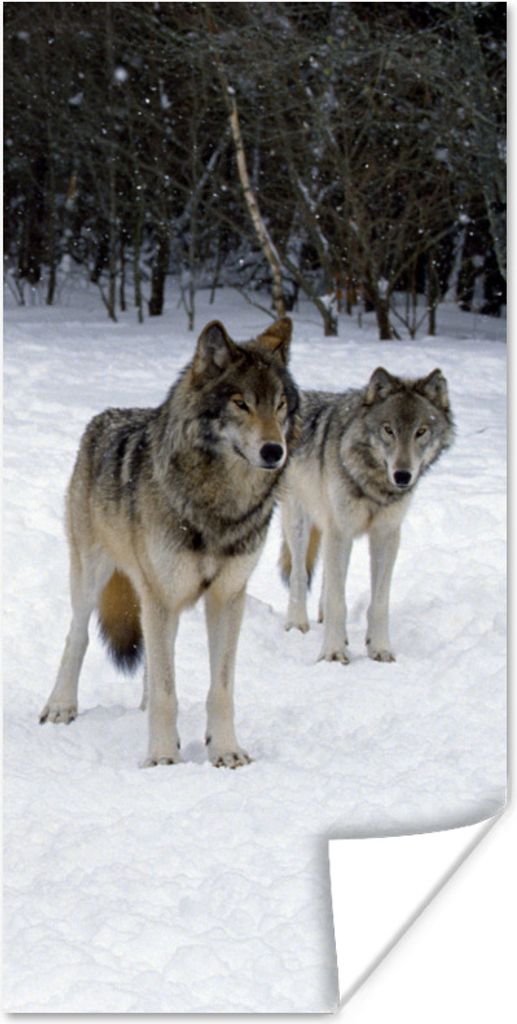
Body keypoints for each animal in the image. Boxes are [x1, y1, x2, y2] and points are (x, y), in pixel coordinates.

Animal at [40, 317, 299, 768]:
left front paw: (225, 750)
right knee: (78, 636)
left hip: (159, 599)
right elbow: (166, 692)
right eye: (240, 403)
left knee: (153, 660)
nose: (274, 451)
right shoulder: (162, 594)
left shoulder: (227, 596)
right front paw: (162, 757)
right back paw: (60, 706)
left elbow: (220, 689)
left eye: (280, 404)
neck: (219, 505)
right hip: (96, 577)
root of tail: (104, 418)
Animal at [280, 366, 454, 664]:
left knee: (328, 578)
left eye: (421, 431)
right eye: (388, 430)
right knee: (300, 575)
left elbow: (379, 602)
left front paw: (380, 649)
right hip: (300, 522)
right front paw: (333, 652)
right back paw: (296, 624)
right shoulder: (341, 530)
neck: (375, 485)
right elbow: (338, 601)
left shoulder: (385, 534)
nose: (403, 475)